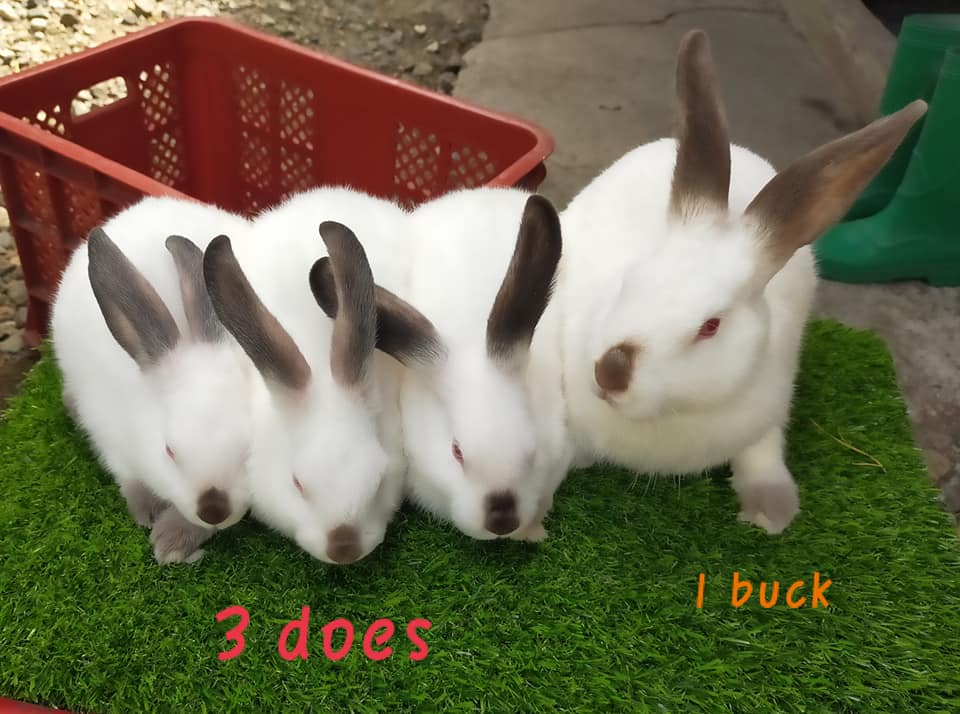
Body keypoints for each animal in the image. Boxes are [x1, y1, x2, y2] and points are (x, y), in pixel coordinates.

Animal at [49, 196, 260, 564]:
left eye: (247, 453)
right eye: (169, 451)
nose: (213, 509)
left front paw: (172, 540)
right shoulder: (109, 437)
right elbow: (130, 478)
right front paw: (146, 513)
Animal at [556, 29, 927, 535]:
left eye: (711, 325)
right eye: (630, 281)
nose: (610, 373)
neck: (674, 412)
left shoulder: (768, 411)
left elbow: (762, 454)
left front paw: (772, 512)